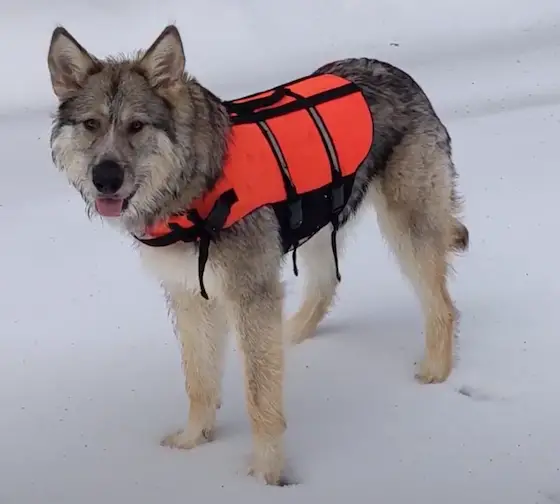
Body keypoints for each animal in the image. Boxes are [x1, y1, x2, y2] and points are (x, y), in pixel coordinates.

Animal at [48, 22, 468, 484]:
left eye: (136, 126)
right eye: (91, 124)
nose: (104, 178)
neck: (194, 185)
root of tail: (396, 71)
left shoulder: (250, 292)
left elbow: (259, 398)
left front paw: (267, 476)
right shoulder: (189, 293)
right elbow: (199, 381)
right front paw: (193, 441)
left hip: (407, 228)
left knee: (442, 306)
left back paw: (435, 372)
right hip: (318, 224)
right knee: (325, 286)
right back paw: (291, 333)